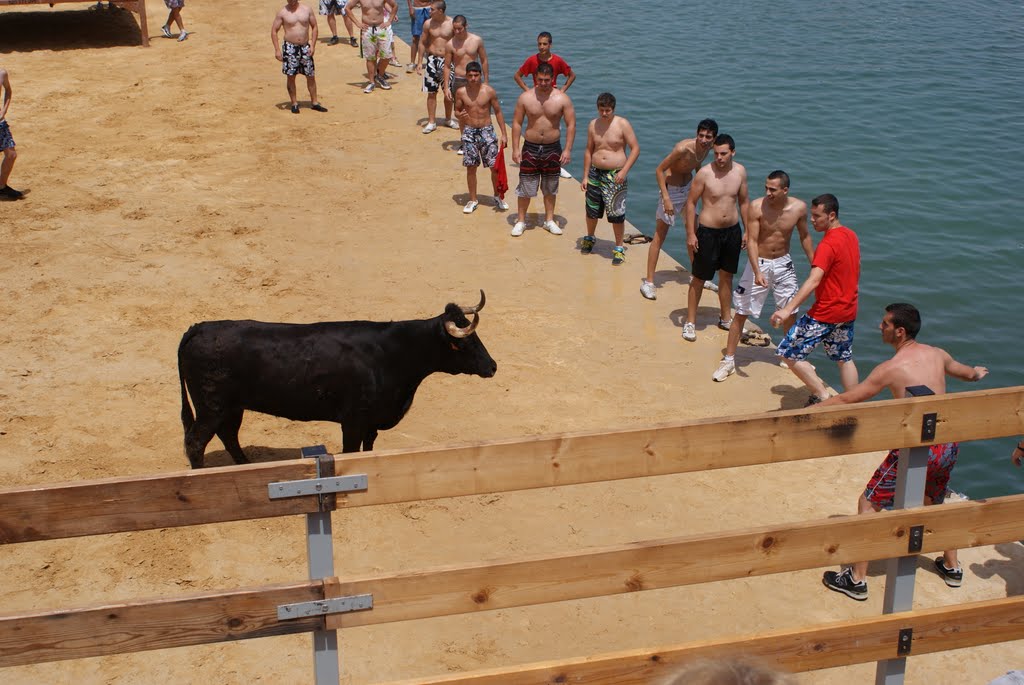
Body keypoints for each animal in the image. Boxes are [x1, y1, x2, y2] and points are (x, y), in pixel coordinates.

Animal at [176, 288, 495, 464]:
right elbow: (352, 451)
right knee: (196, 442)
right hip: (211, 406)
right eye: (466, 343)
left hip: (231, 407)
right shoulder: (353, 420)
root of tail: (198, 327)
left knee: (228, 435)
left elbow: (369, 448)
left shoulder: (371, 421)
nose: (492, 366)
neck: (392, 352)